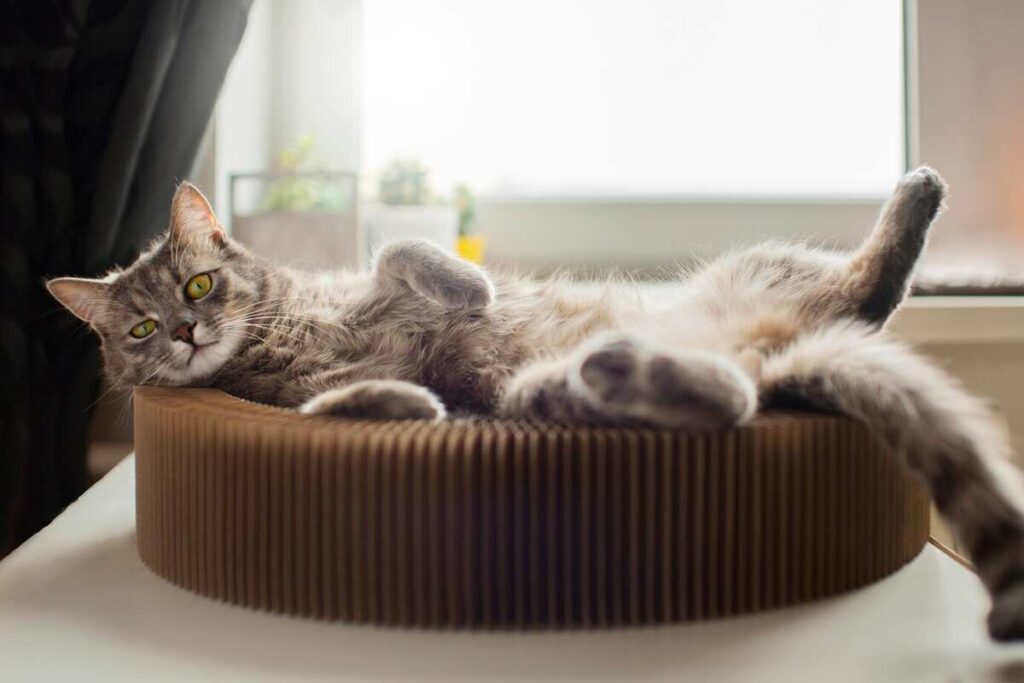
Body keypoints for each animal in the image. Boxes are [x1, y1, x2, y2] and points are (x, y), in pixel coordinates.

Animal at [51, 169, 1024, 643]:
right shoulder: (288, 402)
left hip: (767, 260)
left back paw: (918, 193)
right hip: (561, 384)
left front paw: (469, 284)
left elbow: (404, 247)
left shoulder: (367, 277)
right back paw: (629, 372)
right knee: (744, 391)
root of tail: (777, 354)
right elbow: (341, 401)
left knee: (870, 287)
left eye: (199, 284)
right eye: (140, 327)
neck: (287, 328)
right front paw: (407, 397)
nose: (184, 333)